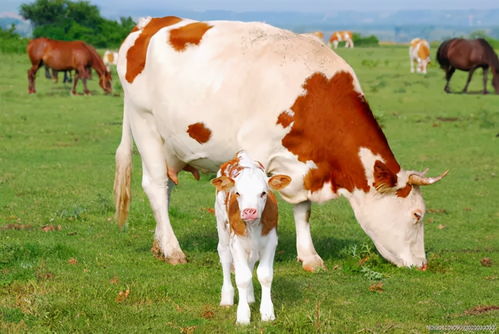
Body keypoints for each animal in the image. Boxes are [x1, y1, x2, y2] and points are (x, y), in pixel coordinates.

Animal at [114, 15, 450, 272]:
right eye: (417, 215)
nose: (422, 264)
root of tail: (148, 23)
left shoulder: (303, 164)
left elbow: (303, 210)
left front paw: (310, 257)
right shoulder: (255, 151)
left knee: (165, 189)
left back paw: (160, 243)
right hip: (145, 124)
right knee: (155, 186)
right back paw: (173, 250)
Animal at [212, 151, 292, 324]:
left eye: (263, 192)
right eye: (237, 193)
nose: (249, 211)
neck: (253, 226)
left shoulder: (271, 241)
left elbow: (265, 275)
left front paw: (267, 312)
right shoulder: (236, 243)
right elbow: (242, 277)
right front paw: (243, 315)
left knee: (250, 262)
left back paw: (249, 297)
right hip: (222, 225)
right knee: (225, 256)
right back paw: (227, 298)